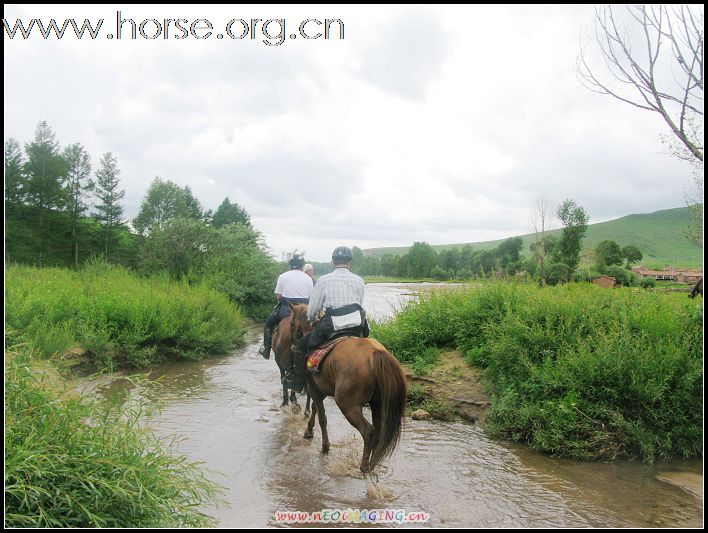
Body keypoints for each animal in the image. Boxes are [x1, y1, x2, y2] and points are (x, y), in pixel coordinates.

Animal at [290, 302, 410, 472]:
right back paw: (372, 462)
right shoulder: (321, 390)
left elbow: (322, 417)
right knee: (379, 430)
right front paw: (309, 431)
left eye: (291, 324)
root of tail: (375, 353)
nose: (293, 345)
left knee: (368, 431)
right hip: (378, 403)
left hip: (348, 405)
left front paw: (325, 446)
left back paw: (364, 465)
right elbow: (315, 408)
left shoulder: (314, 388)